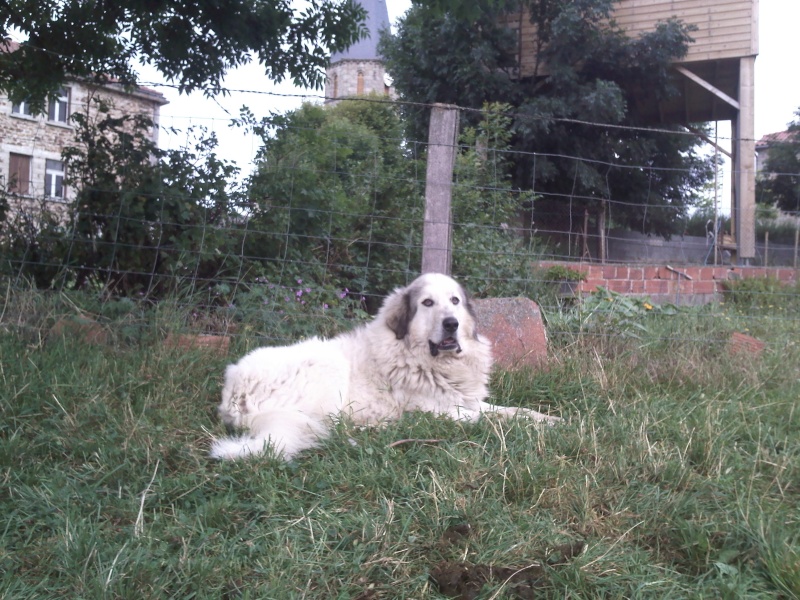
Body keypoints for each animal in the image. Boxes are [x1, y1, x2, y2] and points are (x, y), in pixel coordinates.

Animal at [209, 272, 560, 460]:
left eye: (455, 301)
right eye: (427, 303)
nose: (452, 323)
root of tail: (232, 395)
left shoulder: (467, 400)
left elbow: (511, 410)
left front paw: (548, 420)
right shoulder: (433, 410)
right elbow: (482, 419)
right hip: (327, 368)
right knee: (337, 425)